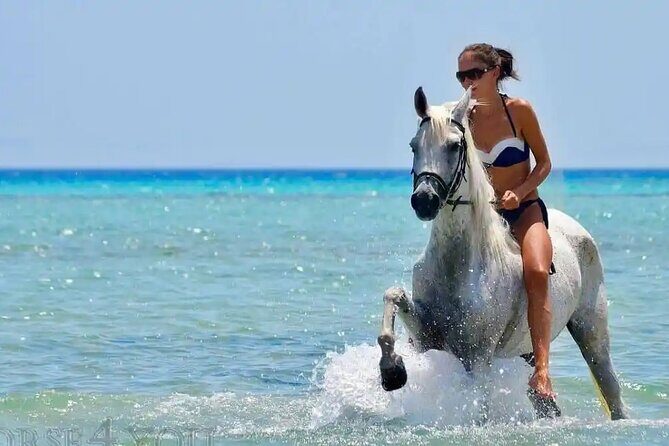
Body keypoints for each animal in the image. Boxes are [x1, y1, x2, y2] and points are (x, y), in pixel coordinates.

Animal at [377, 87, 629, 420]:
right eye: (413, 145)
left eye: (454, 146)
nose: (424, 200)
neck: (460, 264)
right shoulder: (428, 337)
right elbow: (393, 297)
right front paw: (392, 371)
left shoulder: (478, 356)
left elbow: (480, 408)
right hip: (527, 353)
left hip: (592, 332)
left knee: (610, 388)